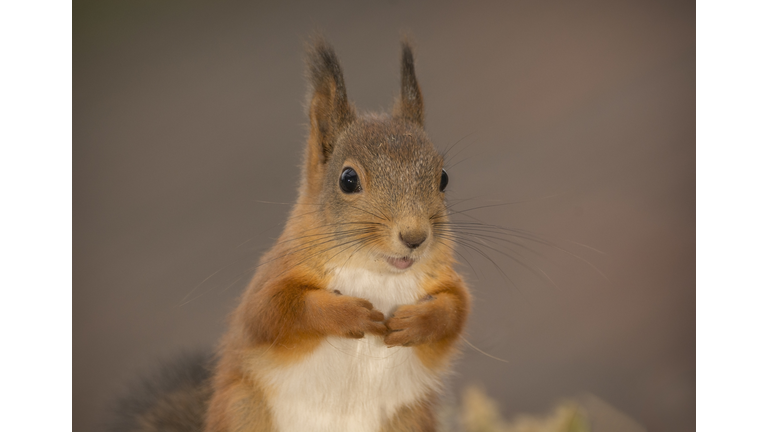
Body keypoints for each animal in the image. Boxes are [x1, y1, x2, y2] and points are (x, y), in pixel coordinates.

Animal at [111, 38, 472, 432]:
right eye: (348, 179)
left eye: (443, 178)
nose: (415, 236)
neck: (375, 272)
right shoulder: (276, 273)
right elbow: (274, 310)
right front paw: (348, 313)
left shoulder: (443, 278)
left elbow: (455, 312)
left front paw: (418, 321)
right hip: (243, 409)